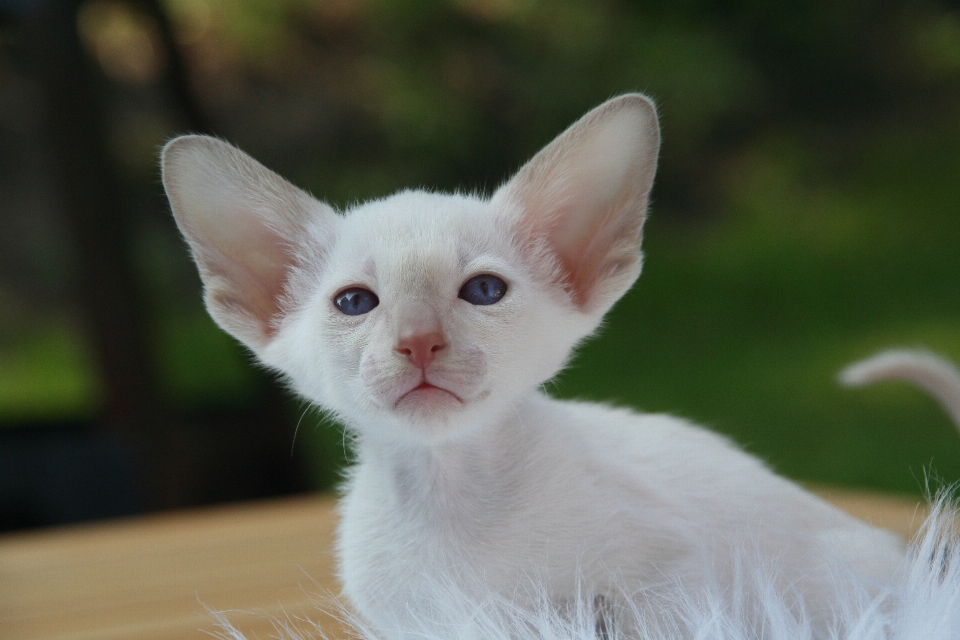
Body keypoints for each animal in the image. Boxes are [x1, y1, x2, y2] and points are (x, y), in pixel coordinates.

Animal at [159, 96, 936, 640]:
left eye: (483, 291)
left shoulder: (673, 579)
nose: (418, 341)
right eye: (355, 302)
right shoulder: (408, 620)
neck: (451, 501)